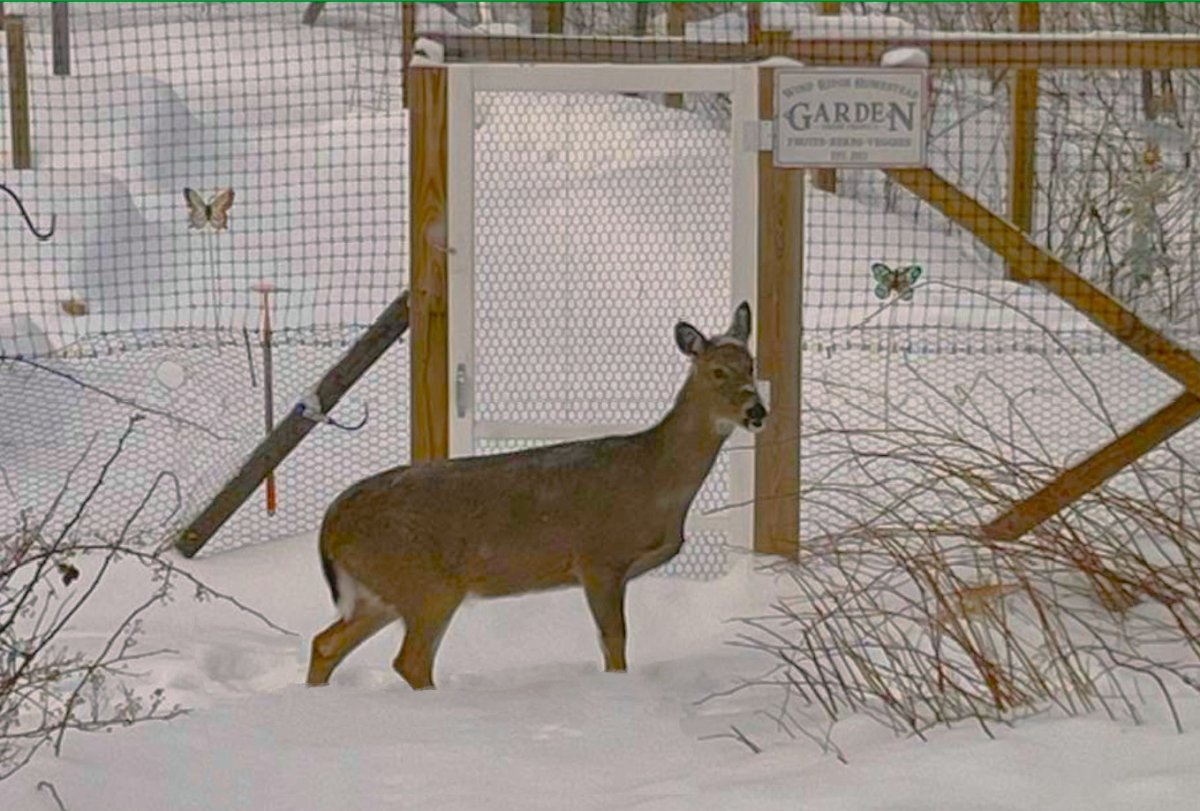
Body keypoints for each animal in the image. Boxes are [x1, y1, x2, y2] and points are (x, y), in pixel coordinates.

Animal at [306, 303, 767, 690]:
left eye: (751, 364)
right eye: (717, 372)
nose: (757, 412)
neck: (654, 480)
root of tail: (331, 523)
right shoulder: (598, 558)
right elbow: (614, 640)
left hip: (381, 588)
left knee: (325, 643)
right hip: (425, 581)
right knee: (409, 660)